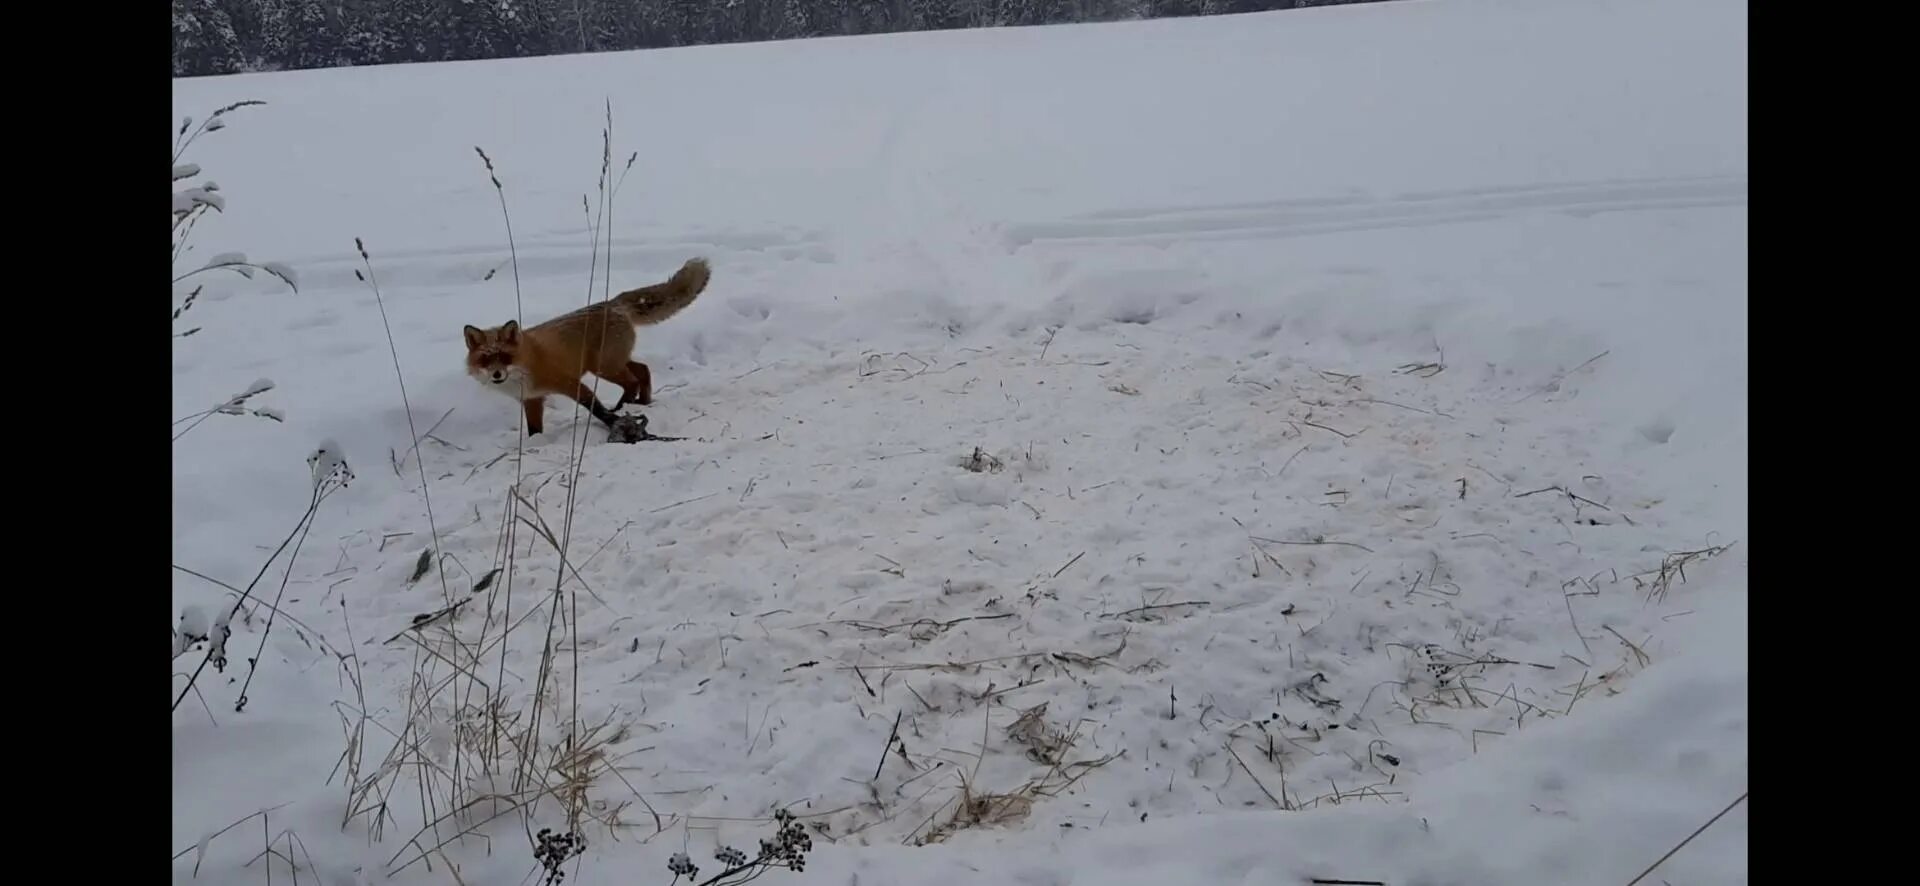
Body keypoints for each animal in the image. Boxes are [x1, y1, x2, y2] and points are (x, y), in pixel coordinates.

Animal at [458, 255, 714, 434]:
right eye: (486, 359)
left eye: (505, 357)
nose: (497, 375)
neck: (525, 369)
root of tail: (612, 303)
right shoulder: (532, 400)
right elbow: (534, 430)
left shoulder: (570, 382)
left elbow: (595, 408)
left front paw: (613, 422)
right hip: (612, 362)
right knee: (643, 370)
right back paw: (643, 403)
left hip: (603, 367)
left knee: (632, 381)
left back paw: (624, 407)